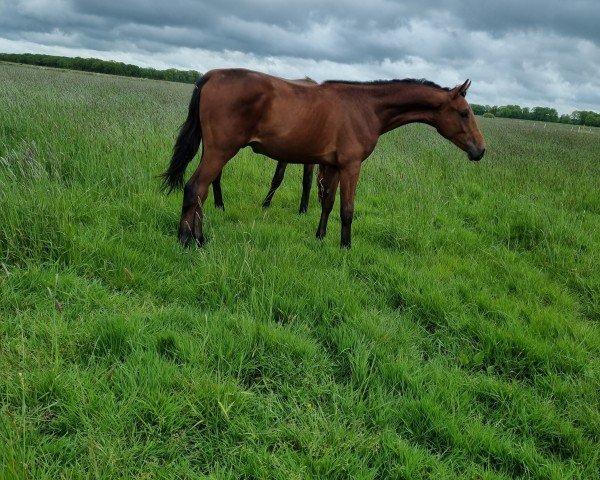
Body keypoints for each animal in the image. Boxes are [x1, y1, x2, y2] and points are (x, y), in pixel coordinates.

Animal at [161, 68, 488, 248]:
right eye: (464, 113)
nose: (480, 150)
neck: (365, 107)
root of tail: (211, 75)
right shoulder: (351, 166)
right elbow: (347, 209)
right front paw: (345, 247)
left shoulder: (331, 164)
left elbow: (327, 202)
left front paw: (320, 237)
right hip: (220, 151)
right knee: (195, 188)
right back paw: (188, 241)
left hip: (214, 151)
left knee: (201, 191)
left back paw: (199, 237)